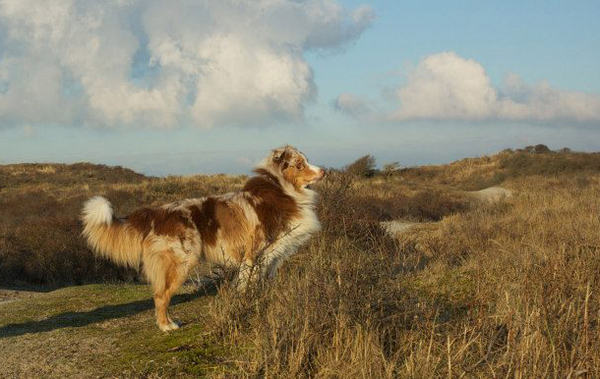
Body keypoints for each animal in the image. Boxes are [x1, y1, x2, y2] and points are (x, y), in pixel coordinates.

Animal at [81, 147, 324, 332]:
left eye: (306, 160)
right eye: (299, 164)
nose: (324, 171)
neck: (281, 191)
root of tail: (157, 213)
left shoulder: (271, 257)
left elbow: (263, 284)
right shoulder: (253, 254)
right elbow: (248, 286)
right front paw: (248, 304)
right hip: (181, 262)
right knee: (161, 295)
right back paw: (166, 326)